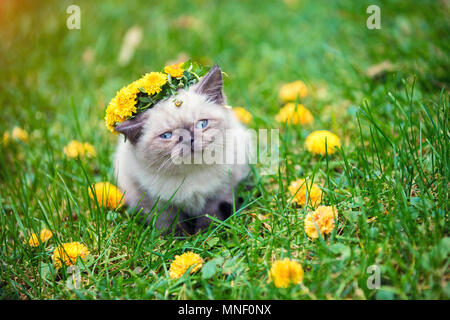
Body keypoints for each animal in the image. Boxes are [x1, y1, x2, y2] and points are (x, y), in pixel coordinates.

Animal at [113, 65, 250, 235]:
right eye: (166, 136)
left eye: (202, 124)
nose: (189, 139)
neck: (192, 173)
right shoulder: (158, 204)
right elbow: (170, 224)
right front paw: (178, 239)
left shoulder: (220, 192)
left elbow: (210, 217)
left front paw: (205, 234)